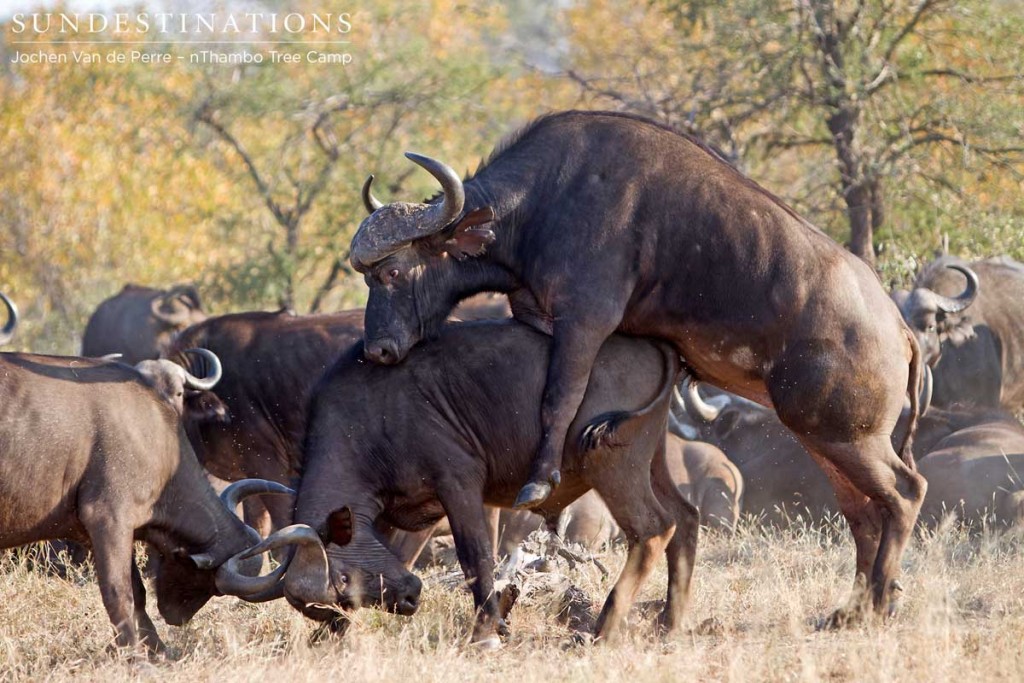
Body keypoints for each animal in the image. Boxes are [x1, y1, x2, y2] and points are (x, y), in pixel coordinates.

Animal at [0, 296, 288, 651]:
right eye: (212, 583)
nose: (177, 617)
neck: (155, 438)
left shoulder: (104, 531)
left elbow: (137, 594)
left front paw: (157, 648)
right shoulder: (108, 521)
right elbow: (118, 594)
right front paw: (134, 651)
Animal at [234, 323, 696, 651]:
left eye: (343, 581)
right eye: (339, 602)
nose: (409, 600)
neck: (370, 419)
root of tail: (657, 346)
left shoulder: (458, 484)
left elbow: (476, 557)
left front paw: (485, 632)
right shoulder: (402, 514)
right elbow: (406, 554)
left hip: (611, 463)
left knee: (653, 528)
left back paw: (604, 629)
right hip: (652, 458)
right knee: (685, 517)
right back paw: (669, 625)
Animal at [348, 112, 925, 626]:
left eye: (393, 271)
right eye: (366, 276)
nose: (378, 351)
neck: (544, 203)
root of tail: (898, 328)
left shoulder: (585, 320)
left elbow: (560, 396)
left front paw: (539, 481)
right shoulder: (539, 318)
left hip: (847, 436)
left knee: (904, 493)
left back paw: (878, 604)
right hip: (821, 438)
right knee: (864, 514)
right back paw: (850, 610)